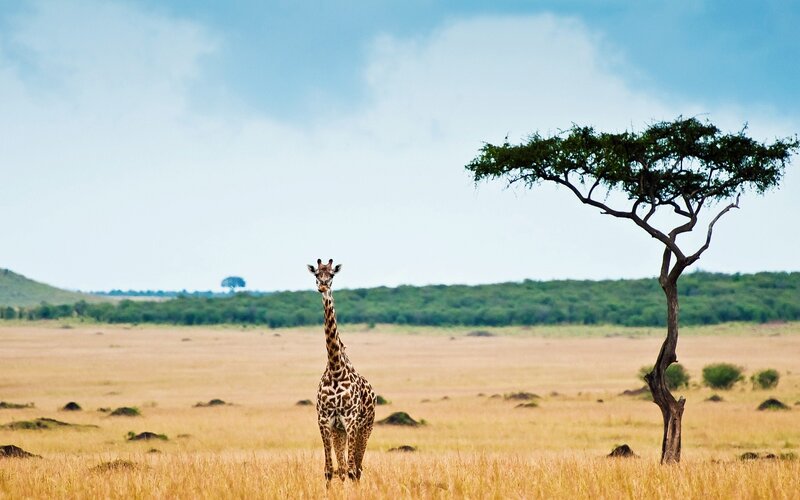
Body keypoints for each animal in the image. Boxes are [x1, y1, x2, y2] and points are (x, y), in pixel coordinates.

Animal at [307, 258, 376, 483]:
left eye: (332, 275)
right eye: (316, 274)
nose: (322, 287)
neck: (336, 370)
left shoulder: (351, 421)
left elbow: (352, 469)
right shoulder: (325, 421)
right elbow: (330, 469)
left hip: (366, 427)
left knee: (358, 468)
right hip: (340, 432)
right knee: (344, 468)